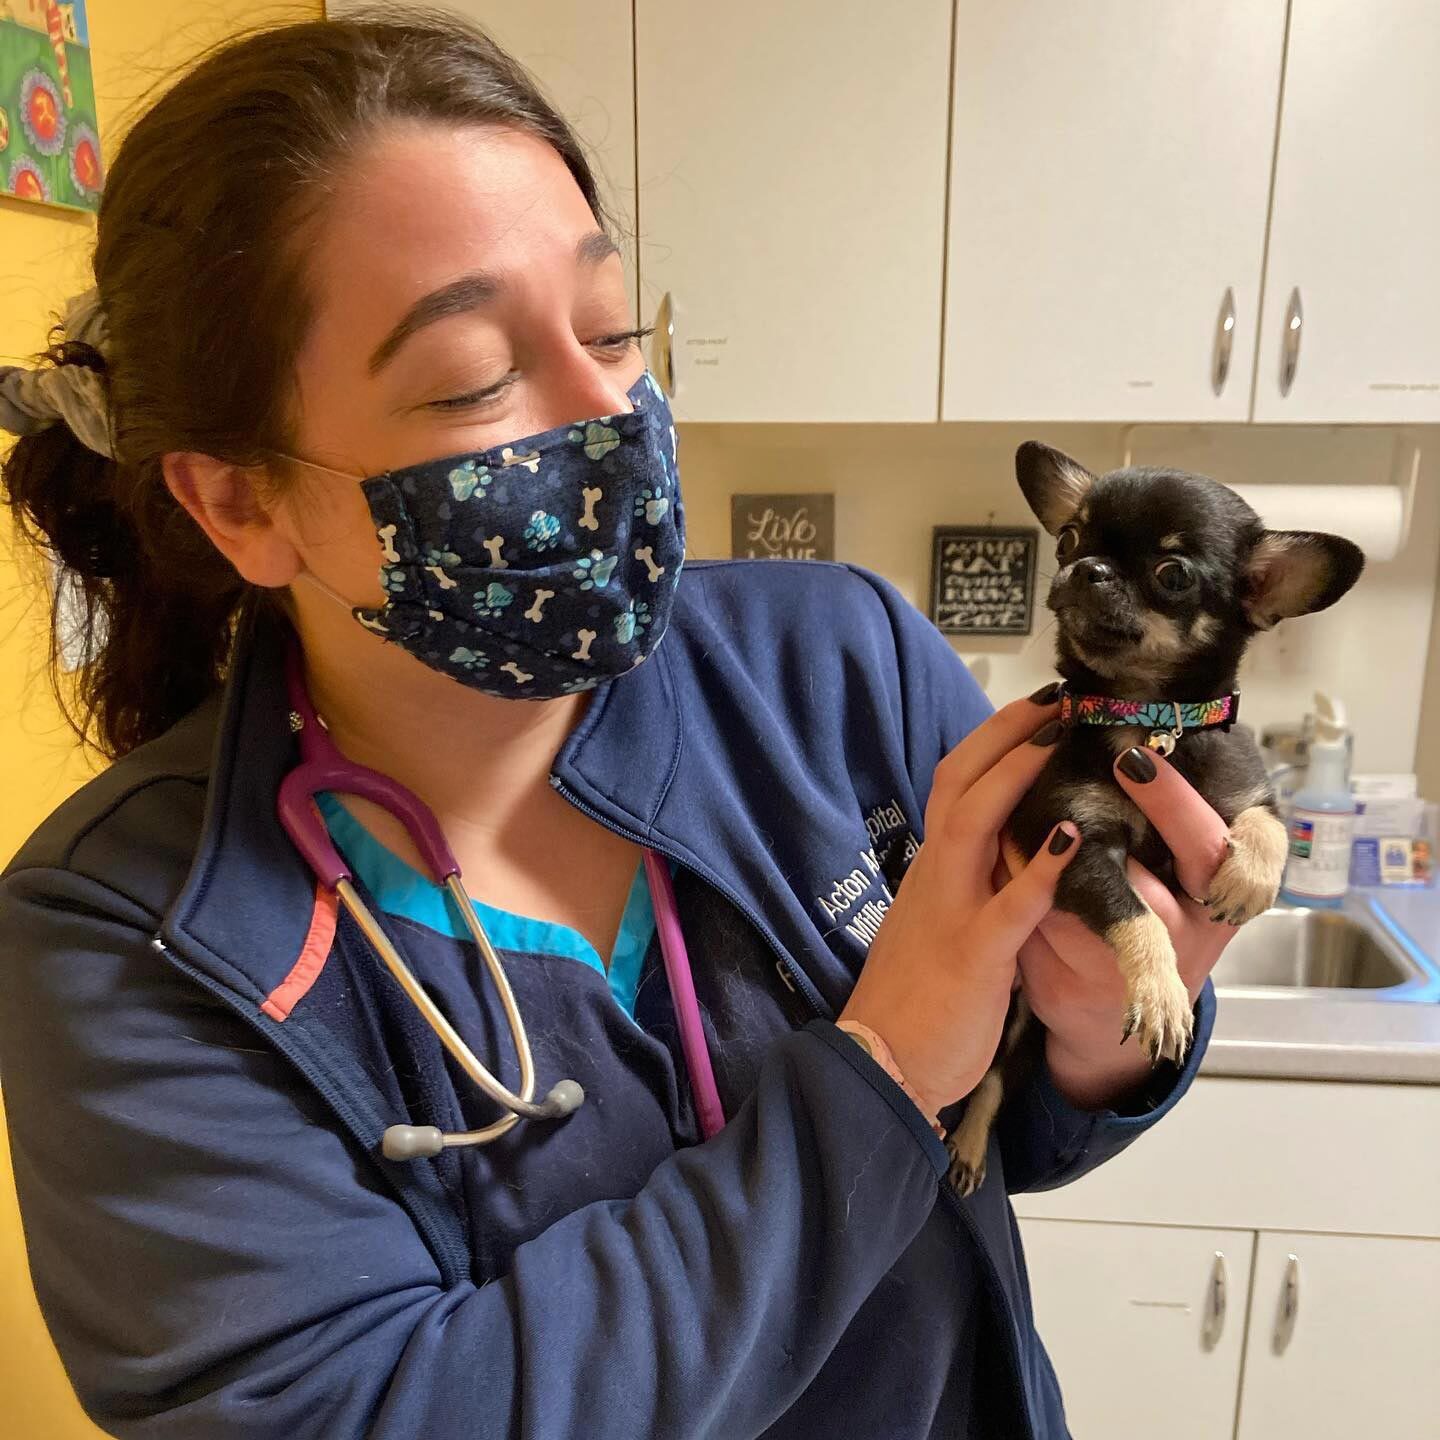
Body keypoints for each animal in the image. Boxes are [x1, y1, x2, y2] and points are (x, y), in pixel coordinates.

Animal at [944, 437, 1359, 1192]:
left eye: (1173, 574)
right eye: (1069, 536)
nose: (1085, 568)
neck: (1144, 718)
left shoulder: (1243, 785)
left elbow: (1268, 820)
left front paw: (1248, 879)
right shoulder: (1074, 845)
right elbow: (1136, 915)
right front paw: (1164, 993)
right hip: (1012, 1022)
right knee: (989, 1082)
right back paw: (966, 1148)